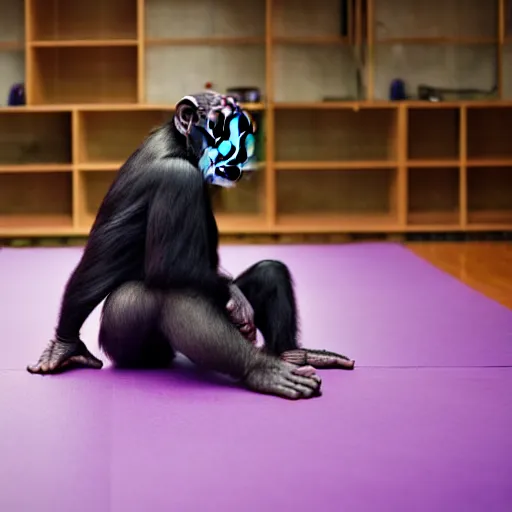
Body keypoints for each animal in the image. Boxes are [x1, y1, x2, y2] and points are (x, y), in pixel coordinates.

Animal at [26, 91, 352, 400]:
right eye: (224, 122)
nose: (239, 148)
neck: (179, 146)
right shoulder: (177, 179)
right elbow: (173, 268)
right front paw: (236, 300)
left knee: (268, 272)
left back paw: (294, 356)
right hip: (125, 336)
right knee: (176, 295)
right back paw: (262, 369)